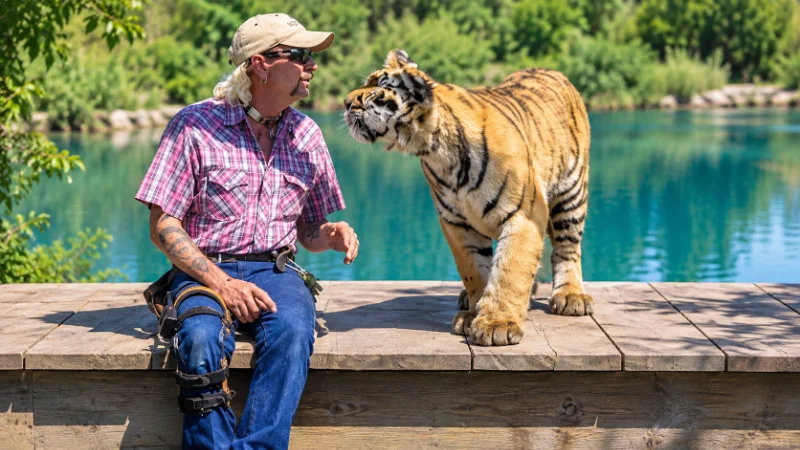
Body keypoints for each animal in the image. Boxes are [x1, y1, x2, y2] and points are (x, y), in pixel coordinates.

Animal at [344, 49, 593, 346]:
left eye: (379, 88)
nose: (346, 102)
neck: (435, 150)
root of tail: (551, 70)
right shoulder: (456, 222)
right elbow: (475, 270)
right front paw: (474, 314)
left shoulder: (524, 214)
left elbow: (510, 270)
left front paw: (497, 324)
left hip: (571, 194)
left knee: (567, 248)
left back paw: (571, 296)